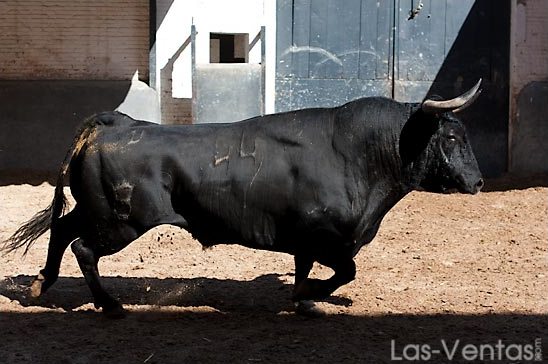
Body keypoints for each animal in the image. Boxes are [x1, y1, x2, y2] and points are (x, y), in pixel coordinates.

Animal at [4, 79, 484, 316]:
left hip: (98, 211)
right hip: (120, 221)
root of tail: (115, 123)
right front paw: (312, 297)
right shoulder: (325, 237)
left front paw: (304, 298)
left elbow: (309, 269)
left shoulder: (307, 240)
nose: (479, 183)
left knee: (62, 230)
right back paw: (109, 306)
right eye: (452, 137)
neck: (358, 154)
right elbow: (345, 271)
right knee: (83, 247)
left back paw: (39, 284)